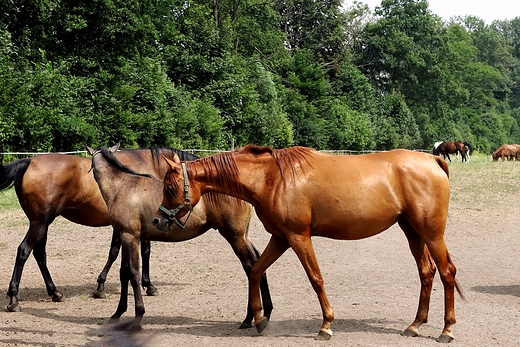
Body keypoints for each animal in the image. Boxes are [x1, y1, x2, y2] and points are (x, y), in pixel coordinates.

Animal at [85, 145, 272, 332]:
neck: (122, 186)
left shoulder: (129, 237)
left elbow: (133, 274)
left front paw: (138, 317)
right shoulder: (125, 236)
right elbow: (124, 273)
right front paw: (117, 314)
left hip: (235, 238)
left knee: (250, 267)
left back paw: (249, 318)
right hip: (243, 237)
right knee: (258, 264)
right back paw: (265, 313)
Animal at [153, 145, 464, 344]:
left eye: (169, 187)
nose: (157, 220)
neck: (272, 179)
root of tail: (433, 160)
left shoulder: (298, 237)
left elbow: (316, 278)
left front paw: (326, 326)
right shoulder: (280, 237)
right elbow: (256, 271)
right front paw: (260, 319)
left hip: (431, 234)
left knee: (447, 272)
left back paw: (447, 331)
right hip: (412, 232)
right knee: (427, 272)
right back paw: (415, 325)